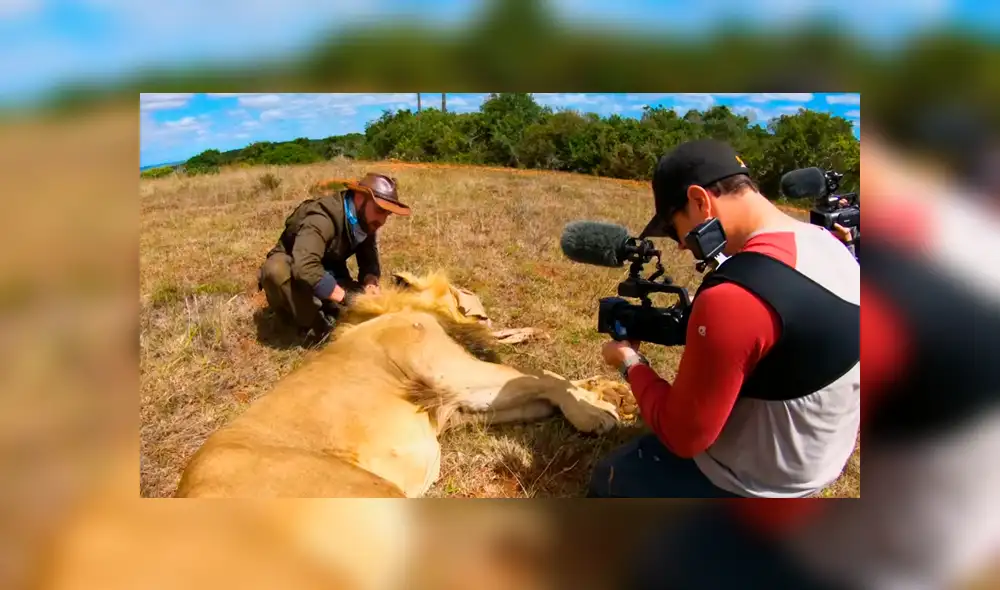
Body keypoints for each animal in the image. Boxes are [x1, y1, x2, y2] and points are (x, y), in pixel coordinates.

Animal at [174, 270, 622, 498]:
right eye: (463, 289)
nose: (483, 305)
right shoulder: (452, 375)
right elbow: (543, 377)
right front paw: (598, 410)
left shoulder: (453, 408)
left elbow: (542, 391)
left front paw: (602, 391)